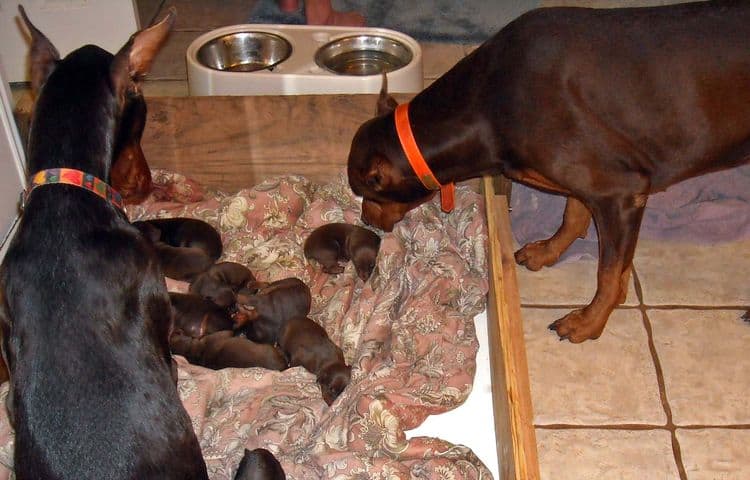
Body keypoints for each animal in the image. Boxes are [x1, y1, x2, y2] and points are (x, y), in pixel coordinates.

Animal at [348, 1, 750, 344]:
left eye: (368, 192)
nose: (366, 220)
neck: (490, 103)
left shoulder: (621, 192)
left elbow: (607, 273)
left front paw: (589, 321)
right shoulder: (585, 181)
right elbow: (574, 215)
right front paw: (548, 251)